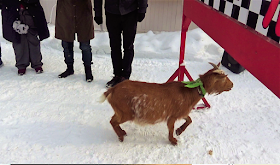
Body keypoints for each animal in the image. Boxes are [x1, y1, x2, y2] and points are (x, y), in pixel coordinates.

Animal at [99, 62, 233, 145]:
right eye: (224, 78)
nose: (232, 85)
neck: (190, 92)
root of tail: (111, 90)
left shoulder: (182, 112)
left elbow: (189, 120)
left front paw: (179, 131)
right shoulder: (172, 116)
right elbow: (171, 128)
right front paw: (173, 140)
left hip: (120, 111)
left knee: (113, 120)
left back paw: (122, 133)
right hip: (126, 113)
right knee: (113, 121)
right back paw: (121, 136)